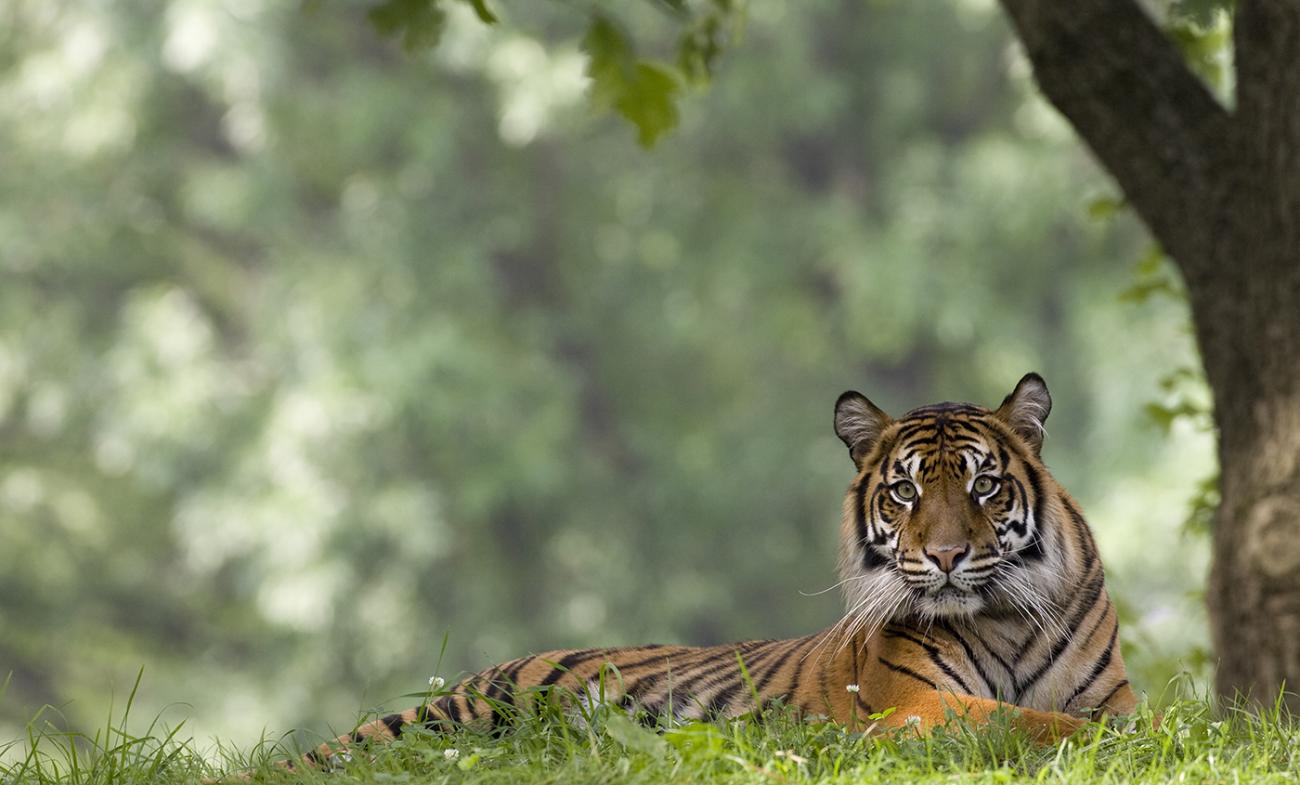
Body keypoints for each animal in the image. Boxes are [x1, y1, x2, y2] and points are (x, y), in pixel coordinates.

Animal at [289, 371, 1133, 764]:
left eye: (983, 484)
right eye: (906, 491)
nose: (948, 556)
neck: (1003, 616)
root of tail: (475, 671)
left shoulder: (1107, 693)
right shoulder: (915, 706)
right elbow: (1027, 719)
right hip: (450, 717)